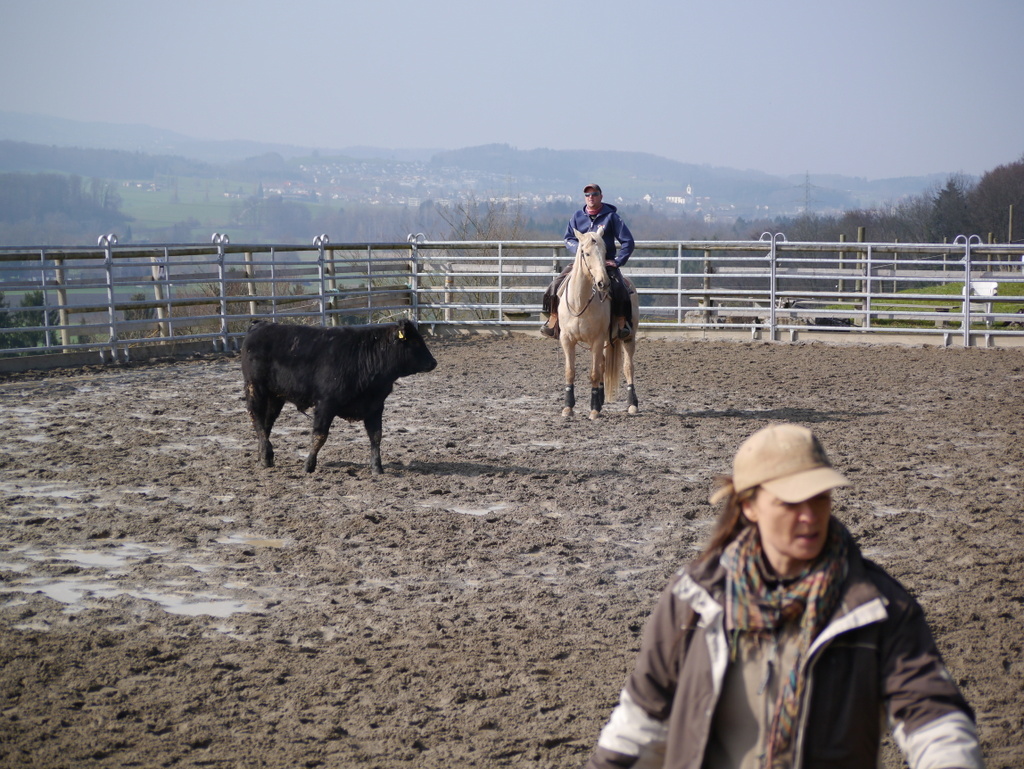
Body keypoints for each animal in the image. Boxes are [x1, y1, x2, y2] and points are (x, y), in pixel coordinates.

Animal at [556, 226, 640, 419]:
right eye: (586, 253)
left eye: (604, 253)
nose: (603, 283)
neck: (580, 302)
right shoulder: (567, 340)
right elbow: (570, 372)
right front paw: (568, 407)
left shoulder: (597, 340)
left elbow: (594, 373)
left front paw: (594, 409)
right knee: (602, 363)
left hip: (629, 337)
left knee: (628, 367)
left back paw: (632, 404)